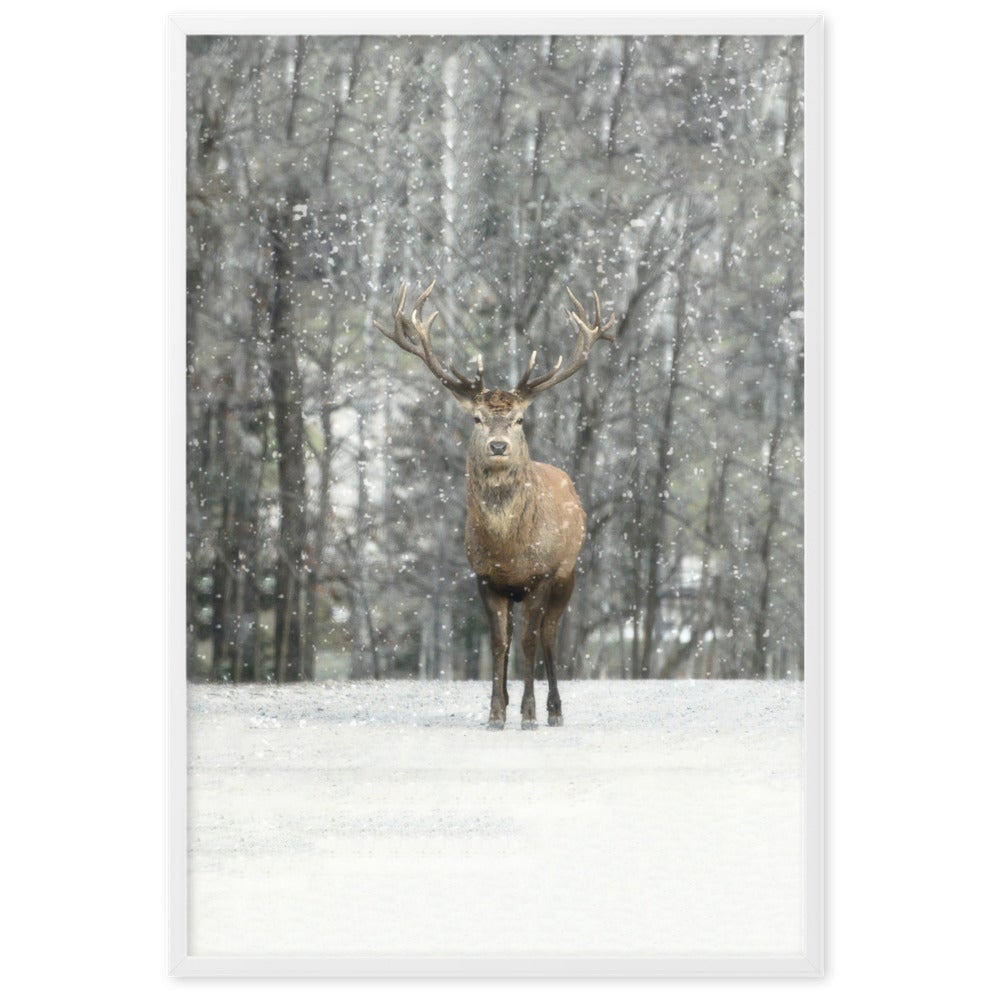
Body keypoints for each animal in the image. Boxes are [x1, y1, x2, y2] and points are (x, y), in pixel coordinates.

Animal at [375, 280, 616, 730]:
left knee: (551, 635)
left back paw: (555, 710)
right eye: (477, 419)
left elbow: (529, 641)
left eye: (519, 419)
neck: (508, 549)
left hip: (568, 572)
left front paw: (529, 713)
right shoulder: (485, 577)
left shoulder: (540, 574)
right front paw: (496, 711)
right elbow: (498, 642)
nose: (499, 446)